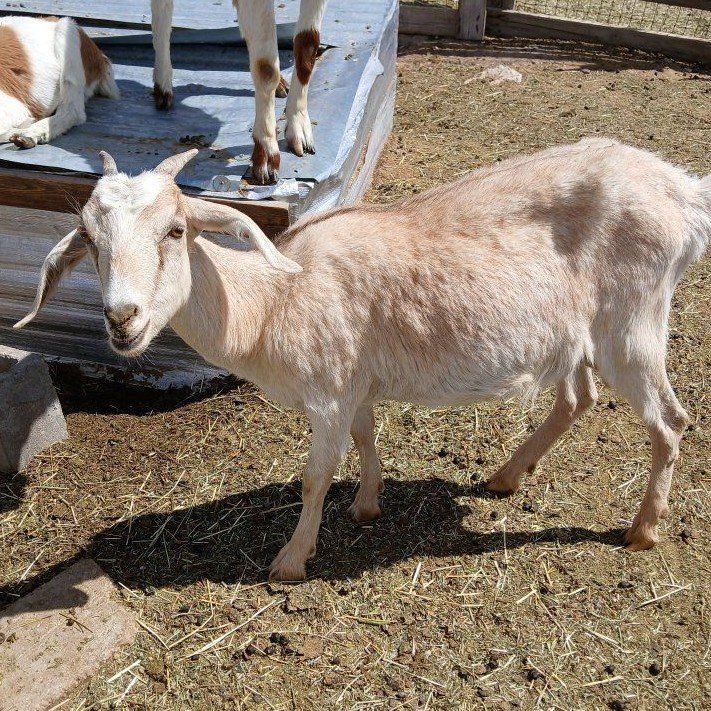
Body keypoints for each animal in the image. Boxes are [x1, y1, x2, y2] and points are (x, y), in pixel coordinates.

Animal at [16, 139, 710, 581]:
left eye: (176, 230)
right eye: (90, 241)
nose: (122, 319)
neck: (273, 303)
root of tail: (682, 189)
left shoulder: (326, 392)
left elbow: (314, 477)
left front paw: (291, 561)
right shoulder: (353, 380)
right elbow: (367, 437)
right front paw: (369, 504)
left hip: (634, 322)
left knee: (670, 421)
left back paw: (644, 529)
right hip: (577, 334)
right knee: (577, 398)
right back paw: (506, 477)